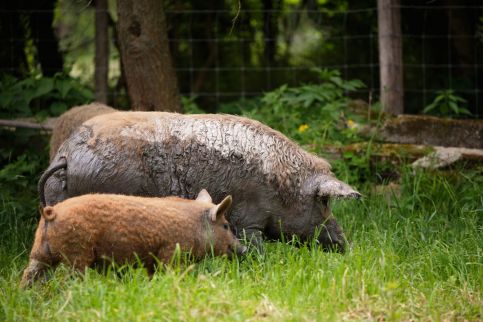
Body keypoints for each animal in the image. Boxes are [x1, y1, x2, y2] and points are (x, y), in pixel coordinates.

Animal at [40, 112, 360, 252]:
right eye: (324, 201)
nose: (345, 245)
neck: (284, 186)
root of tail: (66, 155)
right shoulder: (248, 218)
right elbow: (255, 244)